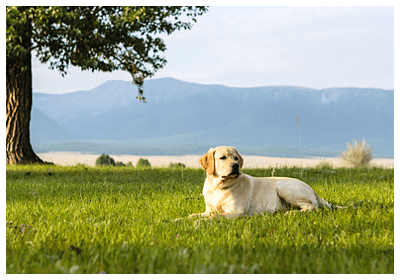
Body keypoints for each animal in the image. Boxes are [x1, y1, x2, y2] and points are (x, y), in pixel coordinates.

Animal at [189, 147, 332, 219]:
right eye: (222, 157)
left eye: (236, 158)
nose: (236, 165)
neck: (218, 187)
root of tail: (313, 190)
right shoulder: (209, 210)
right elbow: (192, 215)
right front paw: (185, 220)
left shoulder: (237, 210)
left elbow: (216, 217)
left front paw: (199, 223)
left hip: (284, 187)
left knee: (312, 207)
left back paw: (292, 213)